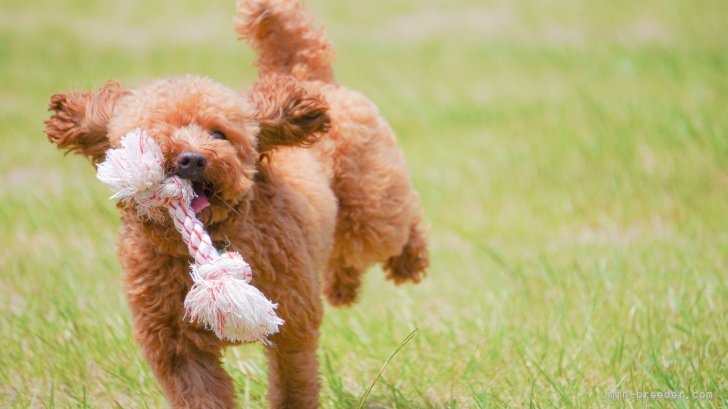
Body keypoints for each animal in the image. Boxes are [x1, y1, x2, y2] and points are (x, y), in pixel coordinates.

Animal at [44, 1, 426, 406]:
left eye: (218, 133)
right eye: (156, 137)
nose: (192, 160)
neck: (210, 242)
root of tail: (311, 78)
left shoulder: (291, 320)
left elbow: (294, 382)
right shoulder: (176, 345)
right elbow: (200, 392)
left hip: (372, 204)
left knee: (396, 225)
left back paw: (409, 260)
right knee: (346, 255)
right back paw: (342, 285)